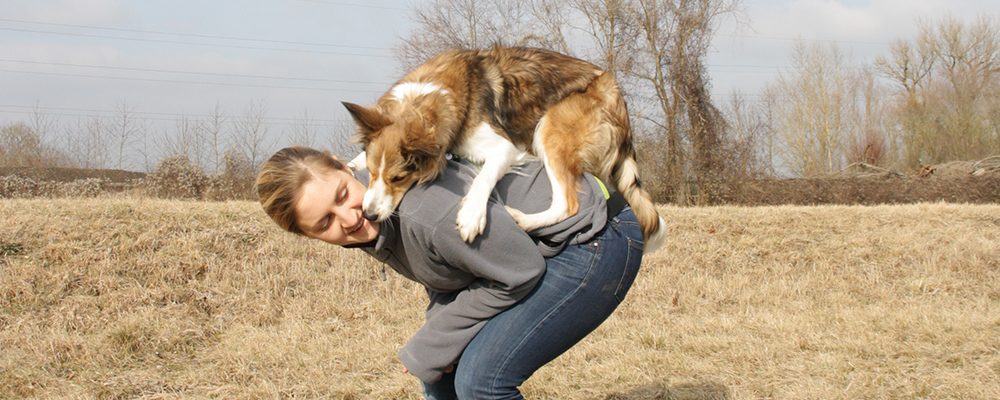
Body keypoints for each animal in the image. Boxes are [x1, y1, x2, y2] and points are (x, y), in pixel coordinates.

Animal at [344, 46, 664, 253]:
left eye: (398, 179)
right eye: (372, 173)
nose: (368, 215)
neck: (426, 95)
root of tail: (616, 95)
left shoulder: (505, 148)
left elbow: (483, 178)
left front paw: (472, 215)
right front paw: (348, 163)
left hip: (549, 128)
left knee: (567, 204)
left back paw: (523, 220)